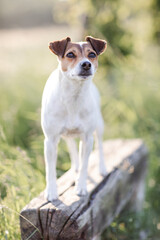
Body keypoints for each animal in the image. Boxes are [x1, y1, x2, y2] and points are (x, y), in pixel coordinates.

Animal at [41, 35, 107, 201]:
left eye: (92, 54)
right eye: (70, 54)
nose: (86, 64)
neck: (74, 97)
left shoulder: (87, 138)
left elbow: (85, 165)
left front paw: (81, 187)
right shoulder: (50, 141)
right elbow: (50, 169)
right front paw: (51, 192)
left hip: (99, 126)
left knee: (100, 145)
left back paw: (102, 168)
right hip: (64, 135)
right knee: (71, 145)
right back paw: (75, 166)